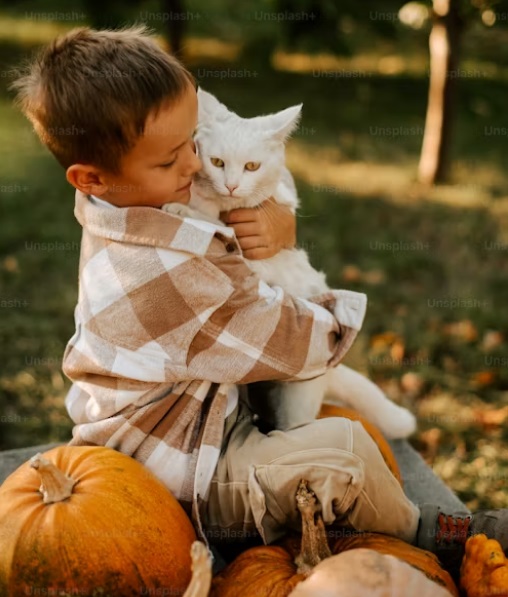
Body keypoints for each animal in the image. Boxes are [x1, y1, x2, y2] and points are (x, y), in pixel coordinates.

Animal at [164, 87, 416, 438]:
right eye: (217, 162)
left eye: (252, 166)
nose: (231, 185)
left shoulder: (249, 255)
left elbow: (217, 224)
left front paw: (180, 209)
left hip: (295, 403)